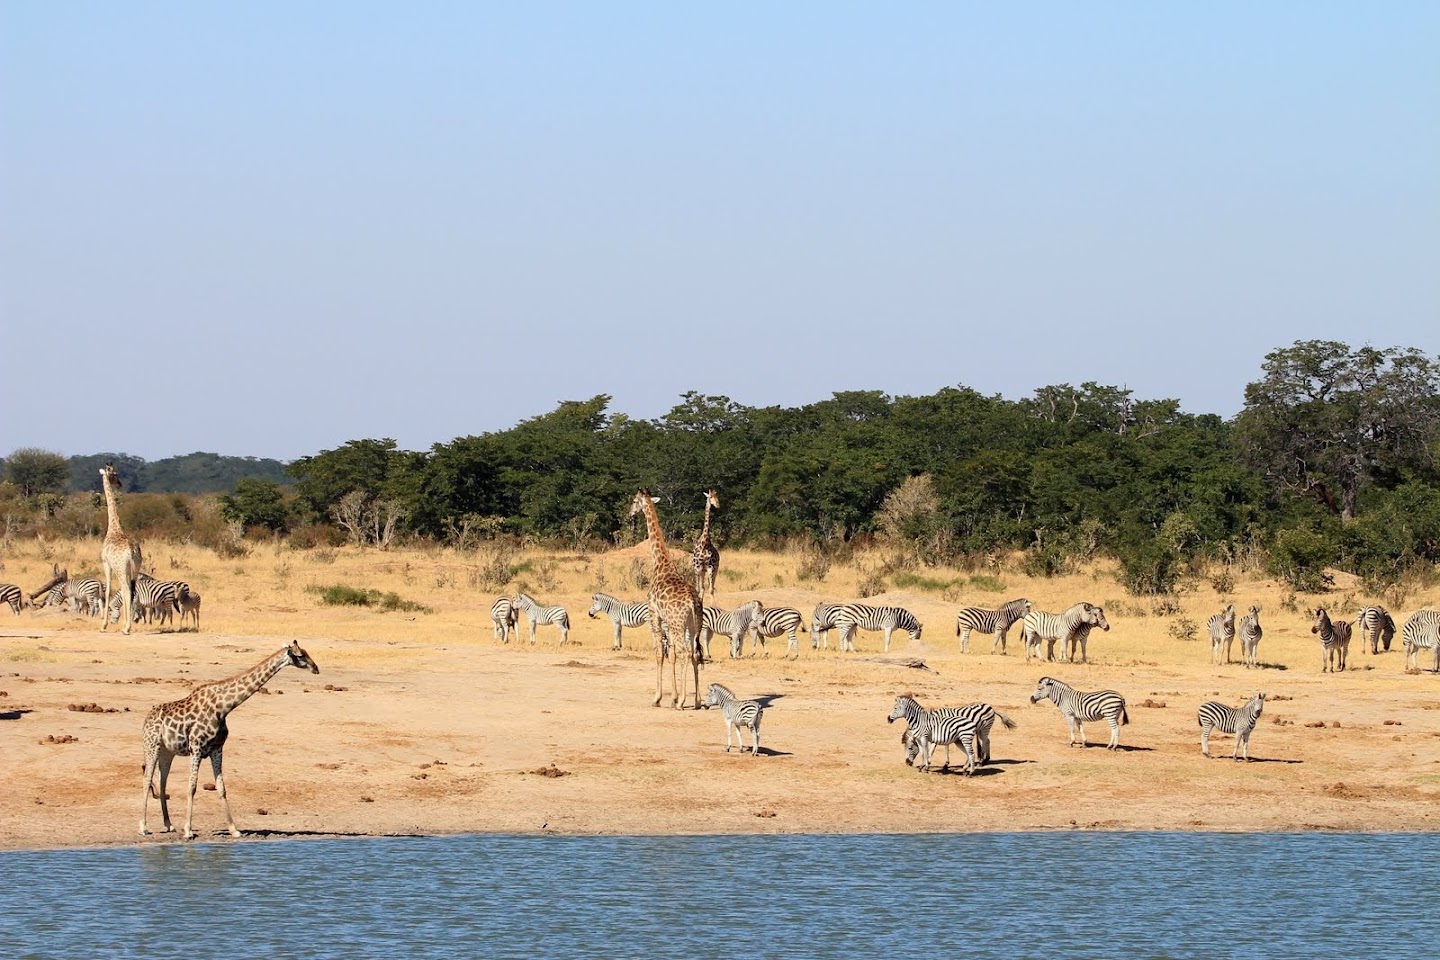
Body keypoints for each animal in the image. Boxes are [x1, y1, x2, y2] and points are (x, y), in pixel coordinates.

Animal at [138, 644, 321, 840]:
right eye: (301, 655)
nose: (316, 668)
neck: (223, 707)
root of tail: (146, 719)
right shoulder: (196, 748)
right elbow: (192, 787)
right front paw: (188, 830)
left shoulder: (217, 748)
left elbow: (221, 788)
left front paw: (234, 829)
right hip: (151, 745)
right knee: (147, 779)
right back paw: (143, 827)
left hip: (167, 751)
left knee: (162, 781)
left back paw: (169, 825)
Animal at [627, 492, 705, 711]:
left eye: (634, 501)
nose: (630, 514)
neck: (660, 564)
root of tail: (692, 601)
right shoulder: (668, 622)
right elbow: (671, 654)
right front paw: (672, 697)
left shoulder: (655, 615)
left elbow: (660, 653)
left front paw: (658, 698)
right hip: (694, 626)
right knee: (694, 653)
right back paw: (697, 701)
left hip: (679, 625)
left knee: (685, 652)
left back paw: (683, 702)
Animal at [881, 693, 1019, 777]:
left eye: (909, 748)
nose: (907, 763)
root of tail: (991, 707)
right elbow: (934, 749)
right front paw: (936, 764)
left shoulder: (938, 732)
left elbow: (932, 749)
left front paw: (932, 764)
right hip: (980, 730)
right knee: (987, 741)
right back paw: (982, 761)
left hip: (984, 728)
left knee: (984, 742)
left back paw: (982, 761)